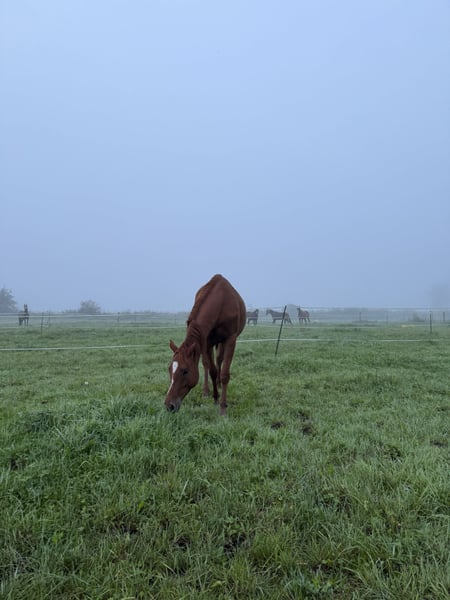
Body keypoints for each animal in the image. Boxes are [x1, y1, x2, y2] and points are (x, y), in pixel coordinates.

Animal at [165, 274, 246, 415]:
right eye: (169, 369)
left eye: (185, 371)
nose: (169, 405)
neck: (221, 303)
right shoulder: (206, 341)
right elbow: (212, 370)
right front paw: (215, 398)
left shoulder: (231, 339)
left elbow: (224, 374)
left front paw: (223, 408)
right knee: (208, 364)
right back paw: (206, 391)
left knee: (219, 360)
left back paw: (219, 384)